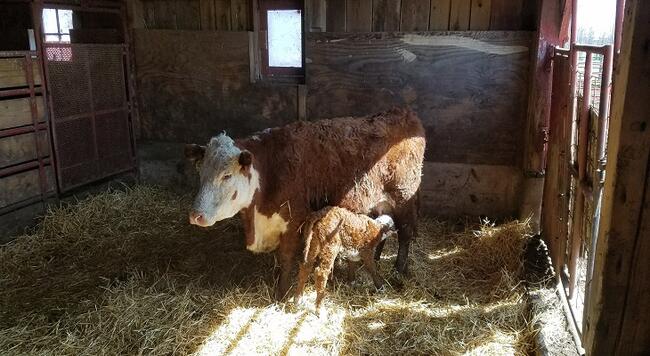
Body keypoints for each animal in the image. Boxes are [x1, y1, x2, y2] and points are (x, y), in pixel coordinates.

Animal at [184, 108, 426, 298]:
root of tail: (404, 113)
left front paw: (281, 293)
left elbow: (285, 257)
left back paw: (398, 268)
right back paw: (375, 256)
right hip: (379, 201)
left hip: (404, 196)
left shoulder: (295, 220)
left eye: (226, 175)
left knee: (405, 233)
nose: (196, 215)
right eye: (200, 172)